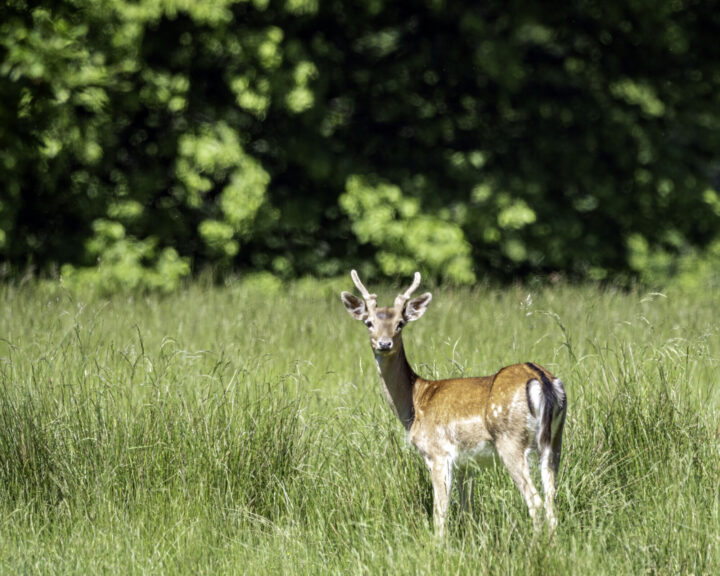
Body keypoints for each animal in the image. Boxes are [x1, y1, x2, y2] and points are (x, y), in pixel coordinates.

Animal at [340, 270, 567, 537]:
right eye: (369, 322)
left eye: (400, 323)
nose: (384, 343)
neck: (415, 403)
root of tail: (542, 379)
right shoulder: (465, 463)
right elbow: (468, 509)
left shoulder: (438, 453)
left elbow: (440, 513)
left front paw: (438, 544)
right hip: (555, 441)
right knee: (552, 499)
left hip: (510, 441)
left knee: (536, 501)